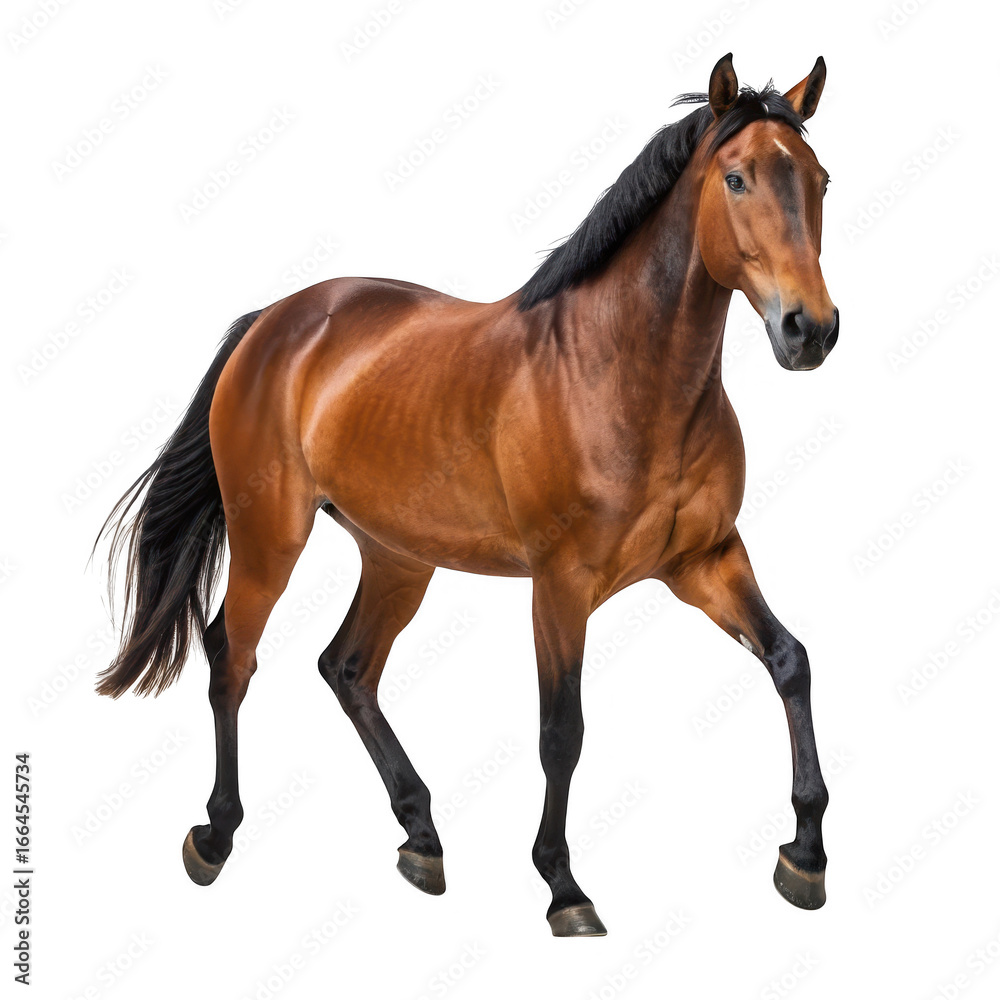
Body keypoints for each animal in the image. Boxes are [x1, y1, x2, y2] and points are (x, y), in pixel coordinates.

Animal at [97, 53, 838, 937]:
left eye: (820, 180)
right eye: (736, 178)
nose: (810, 330)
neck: (620, 374)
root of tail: (276, 321)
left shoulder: (707, 561)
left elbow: (790, 661)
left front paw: (804, 856)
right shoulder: (560, 585)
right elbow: (562, 731)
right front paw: (564, 888)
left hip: (397, 558)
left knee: (347, 667)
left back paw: (421, 836)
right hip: (271, 537)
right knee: (230, 658)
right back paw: (215, 834)